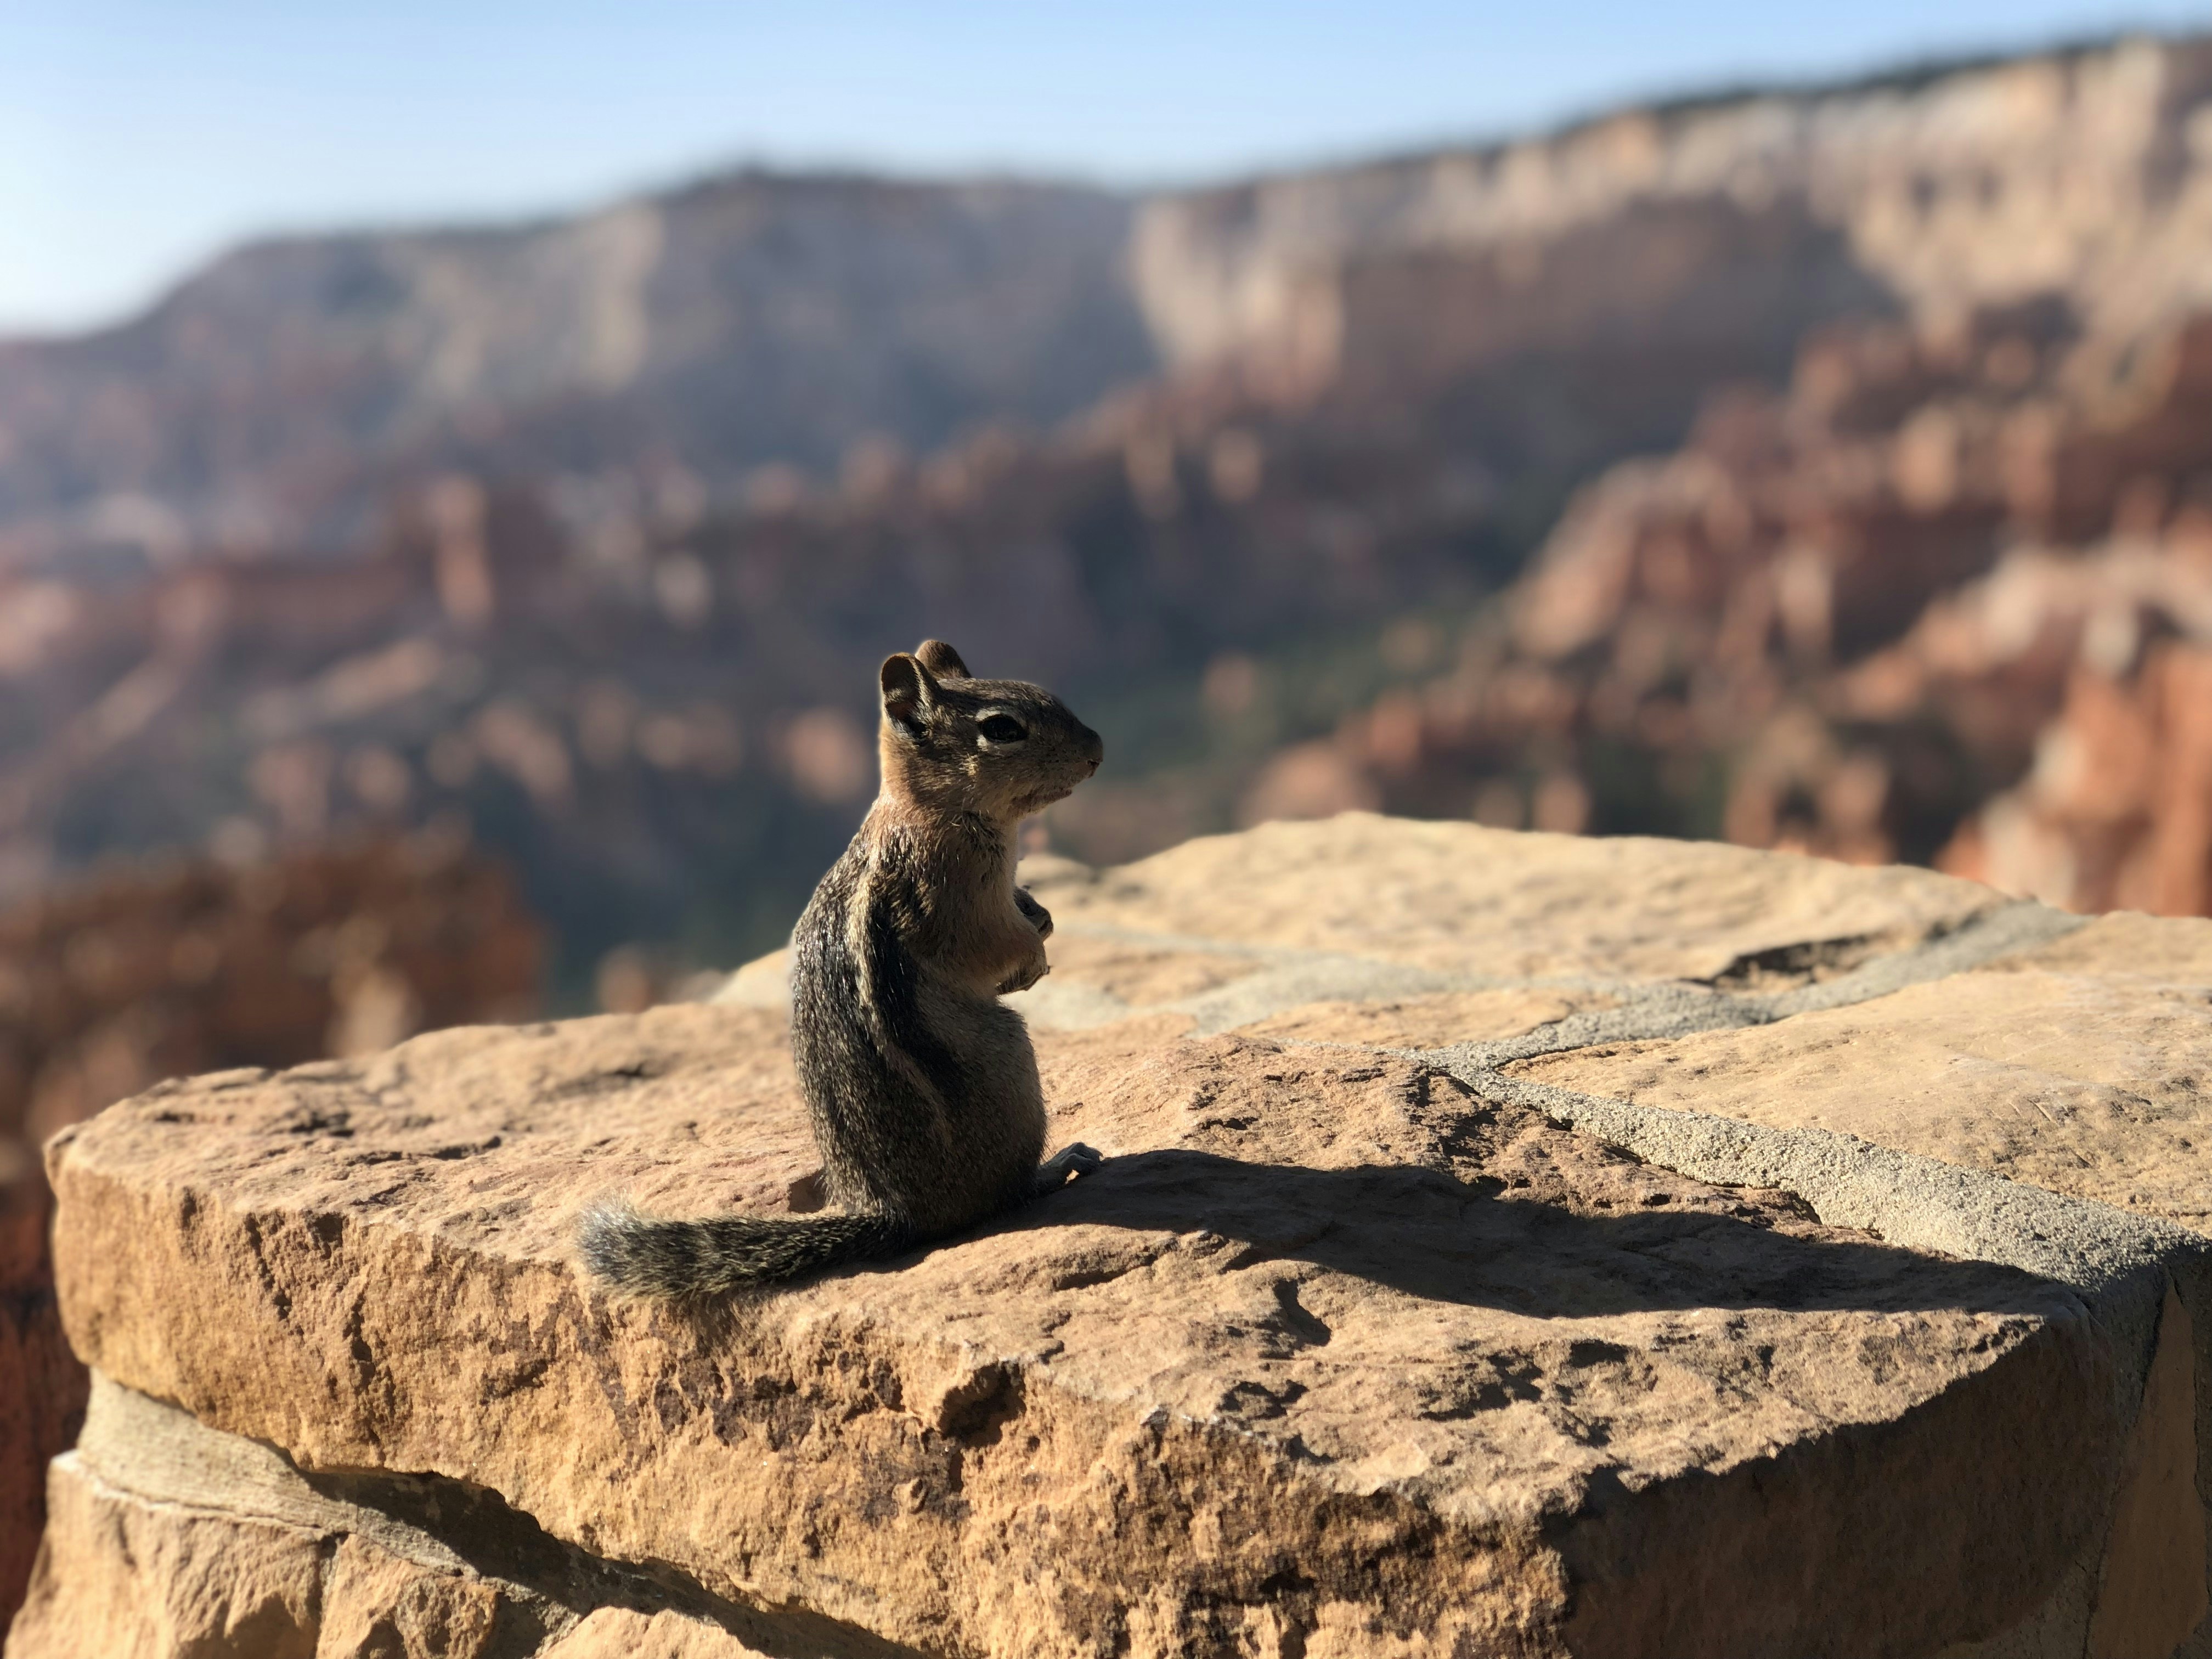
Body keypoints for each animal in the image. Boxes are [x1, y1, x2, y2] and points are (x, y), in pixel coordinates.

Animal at [579, 640, 1106, 1294]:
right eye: (1003, 729)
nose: (1097, 750)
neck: (930, 811)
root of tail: (889, 1209)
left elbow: (1023, 906)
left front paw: (1042, 913)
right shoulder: (950, 899)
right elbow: (990, 949)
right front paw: (1031, 959)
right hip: (1011, 1062)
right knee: (1000, 1199)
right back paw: (1058, 1166)